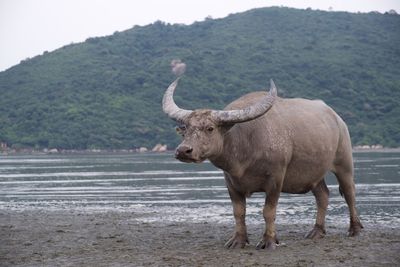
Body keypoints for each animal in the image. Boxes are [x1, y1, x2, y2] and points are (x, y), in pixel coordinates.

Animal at [162, 77, 362, 251]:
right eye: (186, 129)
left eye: (210, 128)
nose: (183, 150)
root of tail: (337, 119)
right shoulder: (231, 183)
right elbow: (239, 212)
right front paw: (238, 241)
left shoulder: (275, 180)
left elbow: (268, 211)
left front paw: (269, 241)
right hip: (314, 173)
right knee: (323, 195)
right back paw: (316, 231)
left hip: (344, 163)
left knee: (349, 192)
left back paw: (355, 229)